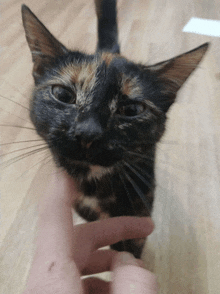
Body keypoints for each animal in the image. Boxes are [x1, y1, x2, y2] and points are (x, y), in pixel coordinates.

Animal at [21, 0, 209, 258]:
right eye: (63, 95)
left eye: (131, 109)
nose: (87, 133)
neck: (95, 186)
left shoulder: (138, 217)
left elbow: (129, 248)